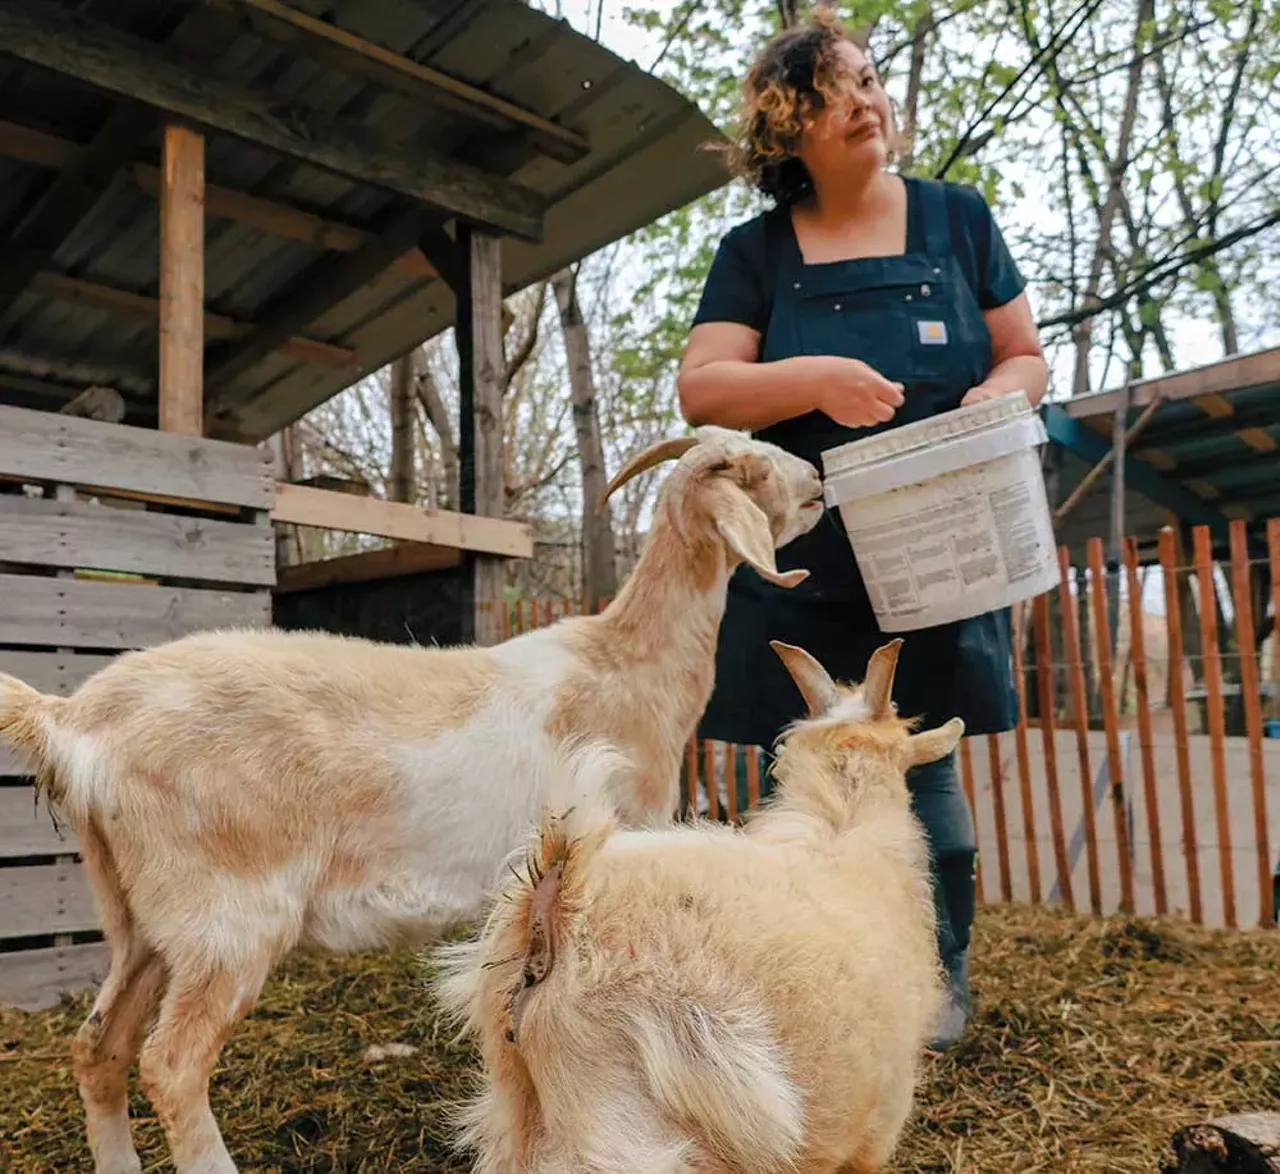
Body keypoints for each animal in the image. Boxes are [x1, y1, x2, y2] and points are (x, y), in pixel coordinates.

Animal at [0, 422, 819, 1172]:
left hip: (138, 918)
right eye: (752, 469)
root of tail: (75, 722)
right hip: (225, 915)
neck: (624, 664)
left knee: (97, 1046)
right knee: (170, 1065)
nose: (815, 479)